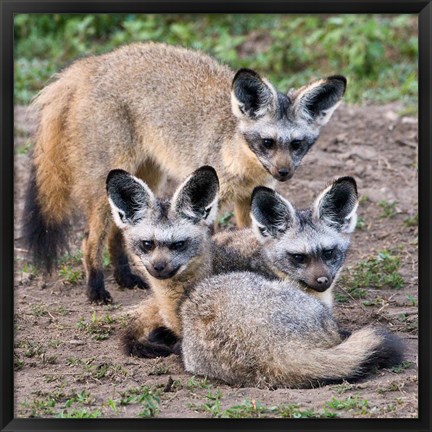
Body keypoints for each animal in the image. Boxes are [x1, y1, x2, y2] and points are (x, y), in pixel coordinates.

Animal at [22, 41, 348, 304]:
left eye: (297, 144)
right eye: (267, 142)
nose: (284, 173)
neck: (241, 163)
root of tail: (96, 62)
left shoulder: (247, 198)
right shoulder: (212, 201)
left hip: (147, 177)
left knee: (119, 231)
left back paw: (125, 278)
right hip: (107, 186)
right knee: (90, 239)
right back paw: (96, 290)